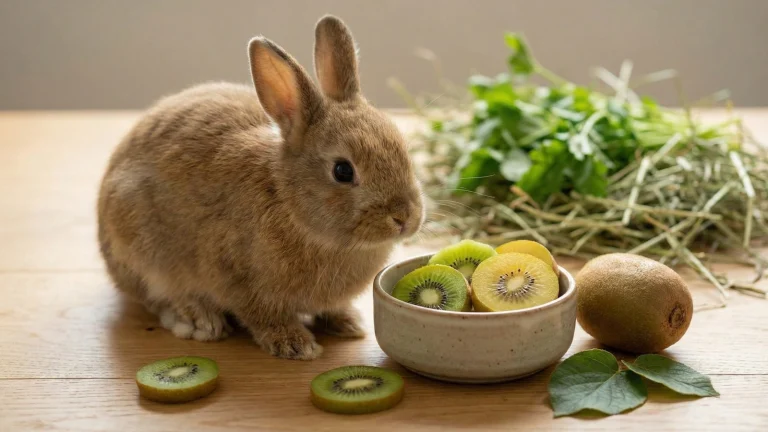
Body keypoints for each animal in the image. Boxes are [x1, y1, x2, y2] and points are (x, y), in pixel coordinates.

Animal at [97, 15, 425, 360]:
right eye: (343, 171)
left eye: (402, 149)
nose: (405, 218)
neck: (288, 202)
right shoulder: (237, 278)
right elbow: (263, 315)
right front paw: (295, 344)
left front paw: (349, 322)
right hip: (141, 249)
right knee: (158, 295)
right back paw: (201, 321)